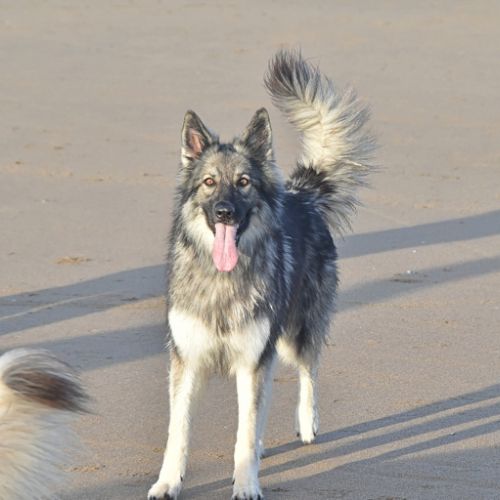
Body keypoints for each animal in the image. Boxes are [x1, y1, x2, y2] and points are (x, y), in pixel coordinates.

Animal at [148, 50, 375, 500]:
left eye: (244, 183)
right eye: (209, 182)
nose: (224, 213)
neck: (222, 279)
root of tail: (302, 196)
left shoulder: (253, 360)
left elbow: (245, 431)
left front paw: (246, 482)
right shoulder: (188, 362)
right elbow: (178, 432)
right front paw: (168, 482)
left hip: (293, 335)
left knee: (307, 371)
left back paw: (306, 423)